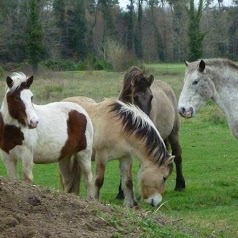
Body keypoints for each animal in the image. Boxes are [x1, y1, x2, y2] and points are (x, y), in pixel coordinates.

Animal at [117, 65, 186, 197]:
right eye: (135, 97)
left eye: (151, 97)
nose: (146, 121)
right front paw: (120, 193)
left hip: (173, 133)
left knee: (178, 155)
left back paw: (180, 184)